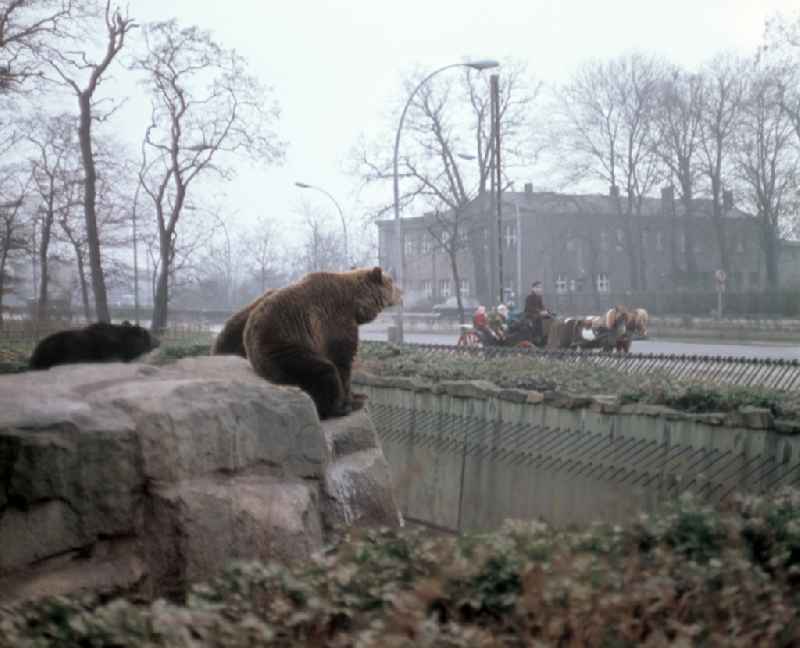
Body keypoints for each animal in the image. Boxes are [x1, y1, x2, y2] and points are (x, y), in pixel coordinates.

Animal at [242, 268, 404, 420]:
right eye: (392, 282)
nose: (402, 293)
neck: (355, 305)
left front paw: (358, 395)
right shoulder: (334, 321)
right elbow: (342, 361)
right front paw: (352, 400)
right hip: (282, 348)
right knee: (323, 371)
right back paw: (337, 409)